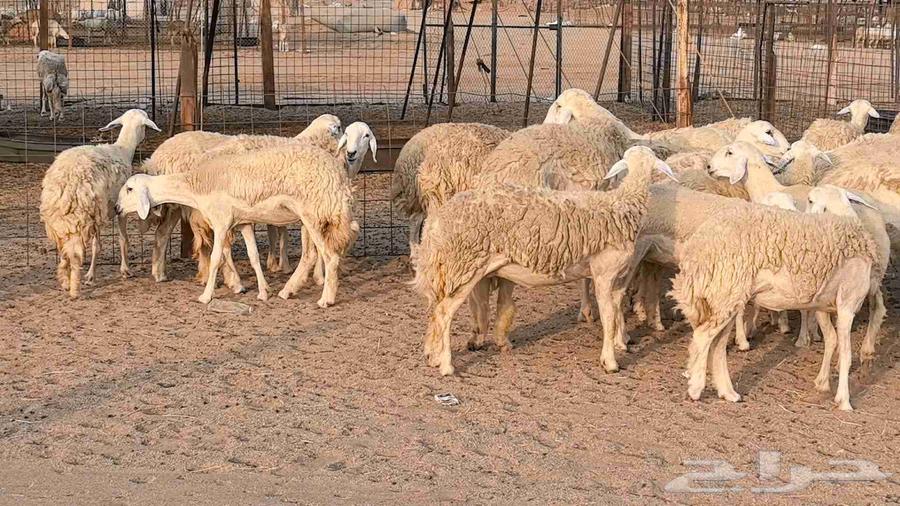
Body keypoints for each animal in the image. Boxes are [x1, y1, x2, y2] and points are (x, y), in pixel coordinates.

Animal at [40, 109, 161, 298]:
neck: (123, 149)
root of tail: (65, 185)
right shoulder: (119, 209)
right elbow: (121, 239)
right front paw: (124, 270)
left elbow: (100, 245)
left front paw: (92, 274)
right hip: (85, 215)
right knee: (78, 252)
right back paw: (75, 288)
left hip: (59, 221)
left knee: (63, 250)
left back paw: (65, 281)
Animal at [116, 144, 356, 306]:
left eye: (129, 189)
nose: (117, 208)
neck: (196, 186)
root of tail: (339, 176)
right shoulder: (243, 223)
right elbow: (253, 256)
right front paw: (263, 292)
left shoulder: (221, 222)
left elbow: (215, 258)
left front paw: (206, 296)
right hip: (313, 217)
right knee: (311, 255)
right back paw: (286, 291)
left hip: (313, 214)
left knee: (329, 257)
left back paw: (326, 299)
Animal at [412, 146, 676, 376]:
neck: (621, 204)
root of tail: (437, 222)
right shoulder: (604, 273)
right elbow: (609, 317)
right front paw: (610, 362)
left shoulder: (614, 277)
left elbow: (616, 311)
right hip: (464, 265)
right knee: (444, 313)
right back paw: (446, 366)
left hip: (456, 269)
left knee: (436, 311)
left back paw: (434, 356)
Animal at [670, 203, 881, 411]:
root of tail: (698, 246)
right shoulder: (847, 303)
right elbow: (846, 354)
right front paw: (844, 400)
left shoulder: (823, 305)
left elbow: (831, 340)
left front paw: (822, 383)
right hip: (727, 288)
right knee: (702, 337)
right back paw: (695, 388)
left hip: (726, 296)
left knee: (717, 345)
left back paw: (728, 393)